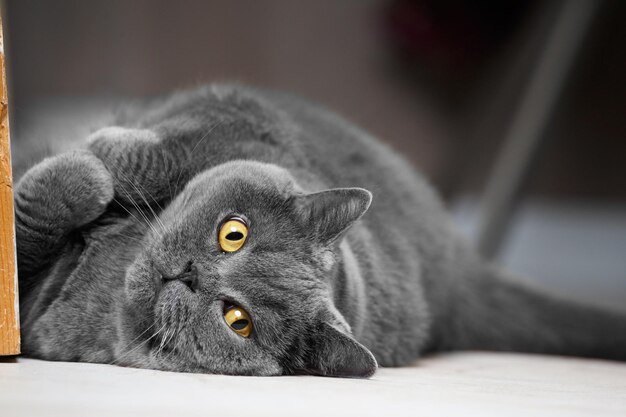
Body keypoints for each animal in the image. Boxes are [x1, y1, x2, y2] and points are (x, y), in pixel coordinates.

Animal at [14, 83, 624, 376]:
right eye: (233, 234)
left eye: (237, 320)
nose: (189, 275)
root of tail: (460, 277)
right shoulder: (244, 118)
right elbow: (158, 153)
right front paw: (97, 156)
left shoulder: (35, 313)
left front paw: (77, 171)